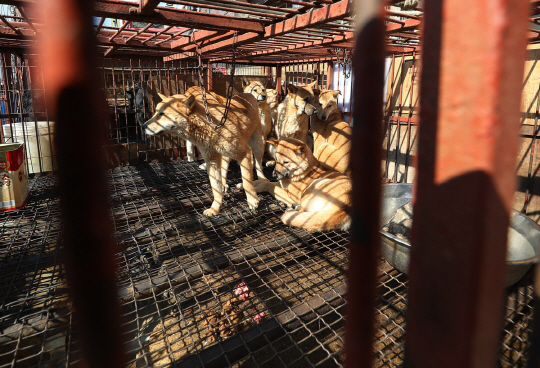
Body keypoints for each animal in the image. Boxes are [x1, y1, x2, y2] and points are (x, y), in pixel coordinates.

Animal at [142, 86, 266, 217]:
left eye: (162, 114)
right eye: (156, 112)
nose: (143, 126)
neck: (211, 126)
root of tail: (246, 94)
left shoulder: (244, 153)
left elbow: (247, 182)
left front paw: (252, 201)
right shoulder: (211, 160)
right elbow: (215, 189)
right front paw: (215, 208)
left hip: (257, 147)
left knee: (258, 165)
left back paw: (262, 179)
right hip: (225, 154)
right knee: (224, 169)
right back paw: (224, 184)